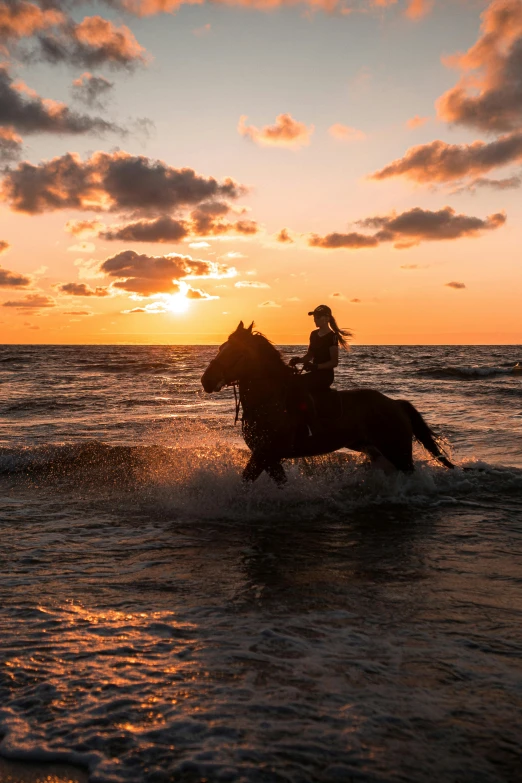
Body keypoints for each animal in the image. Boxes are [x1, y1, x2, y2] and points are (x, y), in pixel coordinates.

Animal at [199, 320, 450, 484]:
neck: (269, 402)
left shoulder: (265, 453)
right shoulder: (268, 457)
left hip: (398, 451)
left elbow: (245, 481)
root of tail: (395, 404)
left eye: (235, 353)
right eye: (221, 348)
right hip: (376, 449)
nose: (206, 380)